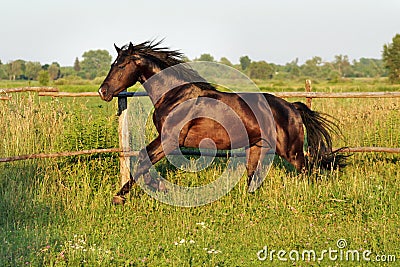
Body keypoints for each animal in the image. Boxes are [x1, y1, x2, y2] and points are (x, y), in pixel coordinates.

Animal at [98, 40, 346, 205]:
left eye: (121, 65)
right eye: (112, 64)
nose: (103, 91)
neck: (174, 95)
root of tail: (292, 107)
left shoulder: (169, 140)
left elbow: (142, 161)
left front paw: (121, 196)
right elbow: (141, 159)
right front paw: (154, 188)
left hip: (291, 151)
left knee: (308, 171)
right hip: (256, 147)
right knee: (253, 177)